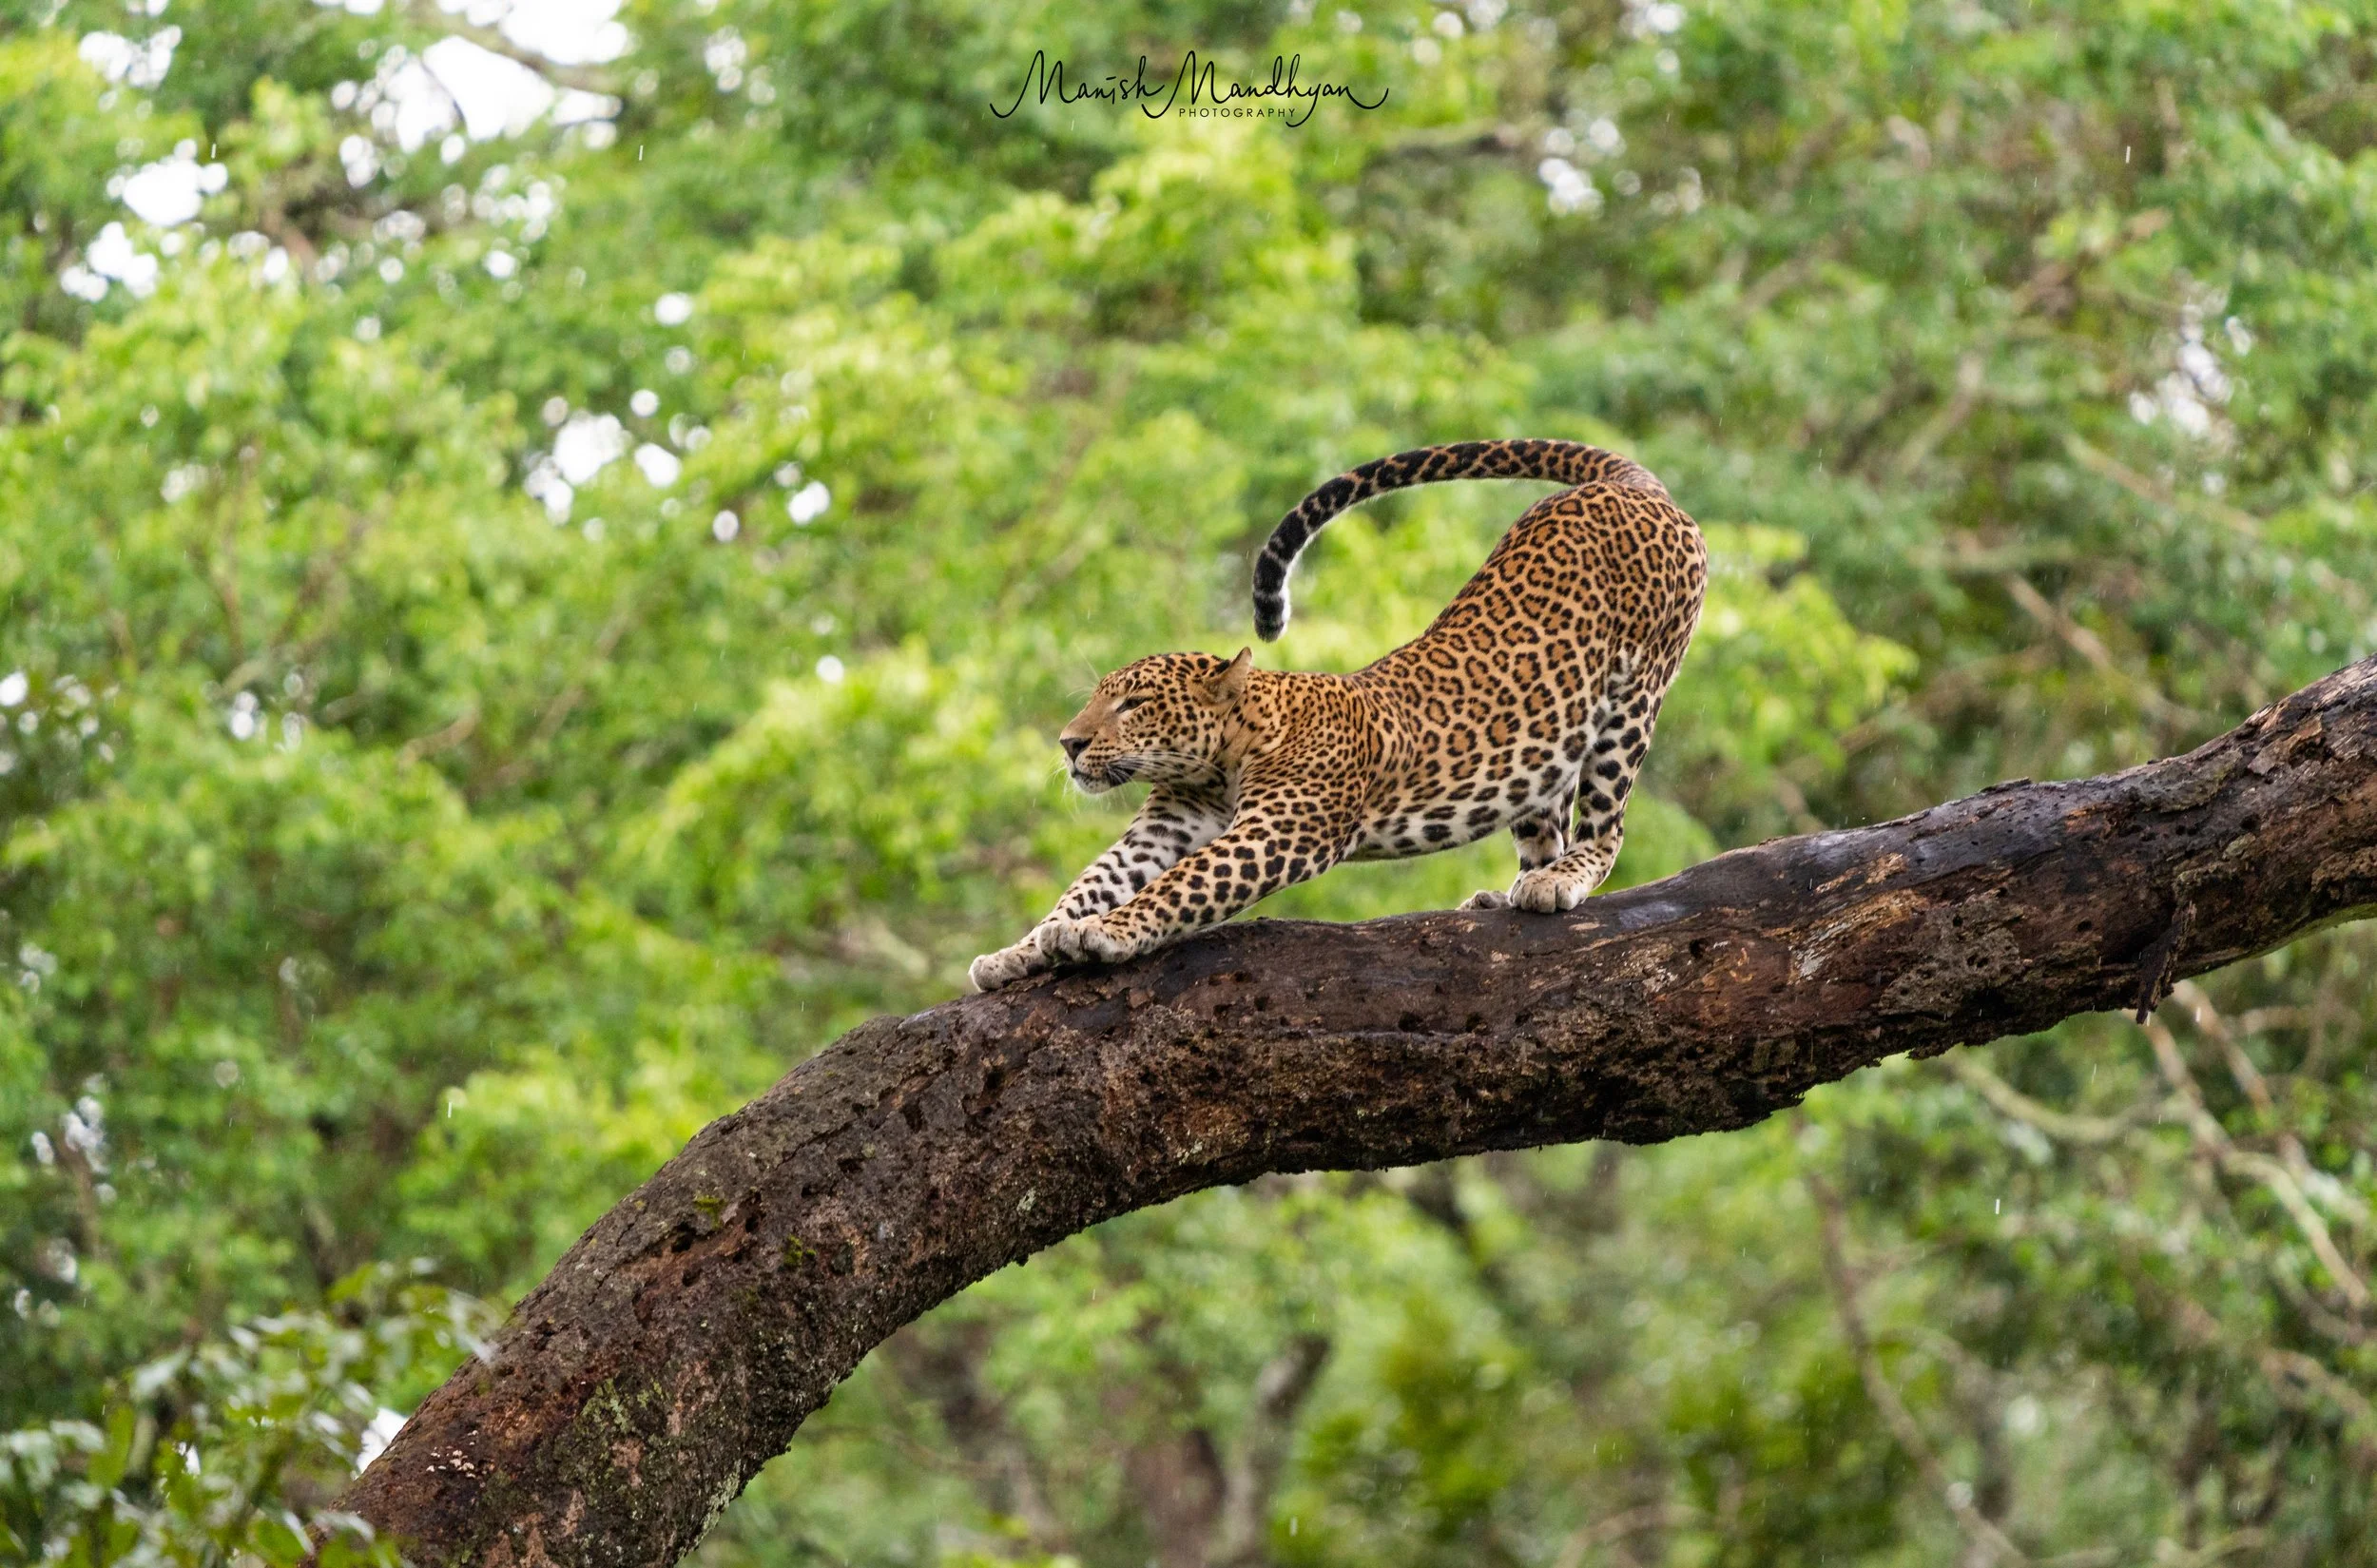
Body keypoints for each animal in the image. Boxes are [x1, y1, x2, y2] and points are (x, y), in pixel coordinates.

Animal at [967, 438, 1707, 992]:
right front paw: (1020, 950)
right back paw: (1516, 889)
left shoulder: (1276, 833)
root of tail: (1627, 486)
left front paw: (1106, 932)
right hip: (1545, 739)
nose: (1067, 743)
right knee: (1543, 816)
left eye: (1135, 703)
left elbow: (1179, 885)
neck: (1221, 761)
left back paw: (1562, 879)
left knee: (1607, 827)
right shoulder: (1163, 827)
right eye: (1096, 699)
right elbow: (1094, 880)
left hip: (1634, 703)